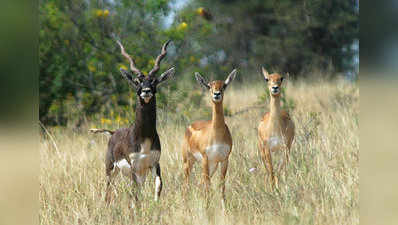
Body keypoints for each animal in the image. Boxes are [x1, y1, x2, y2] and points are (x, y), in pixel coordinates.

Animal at [91, 39, 176, 204]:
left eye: (154, 81)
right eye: (137, 81)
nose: (146, 91)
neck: (144, 137)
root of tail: (113, 132)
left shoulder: (154, 164)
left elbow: (158, 186)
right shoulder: (134, 168)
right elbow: (134, 195)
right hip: (111, 169)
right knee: (109, 191)